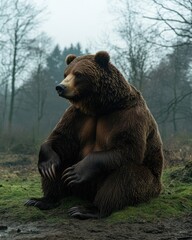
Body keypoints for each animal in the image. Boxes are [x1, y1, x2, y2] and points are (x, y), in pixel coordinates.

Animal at [24, 51, 164, 219]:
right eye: (66, 73)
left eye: (78, 74)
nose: (60, 87)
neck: (100, 106)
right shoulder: (78, 115)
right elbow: (62, 138)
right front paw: (48, 164)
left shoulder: (129, 116)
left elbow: (127, 148)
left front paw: (76, 172)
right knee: (62, 160)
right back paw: (42, 199)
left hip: (150, 183)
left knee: (126, 176)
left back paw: (89, 209)